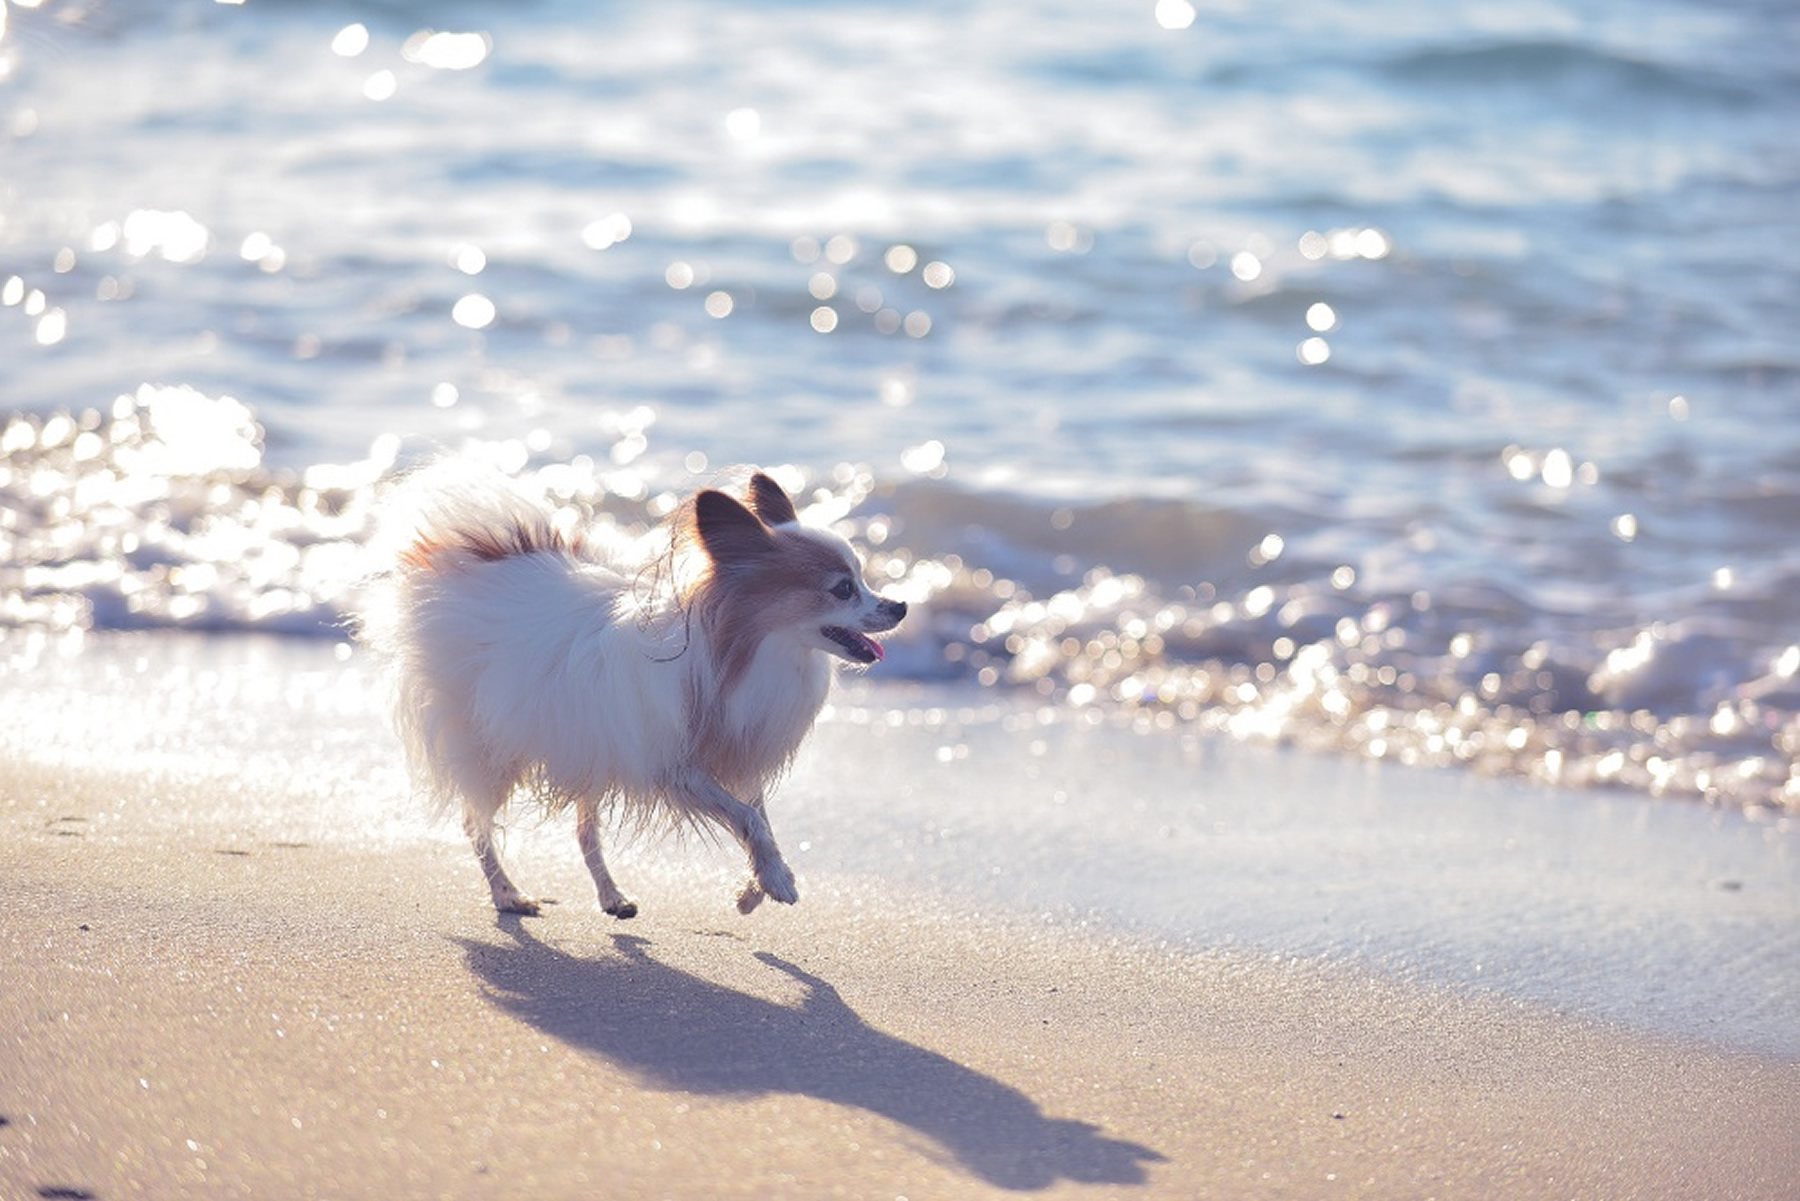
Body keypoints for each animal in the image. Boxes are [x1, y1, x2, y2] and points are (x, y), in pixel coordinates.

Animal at [358, 464, 907, 914]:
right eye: (843, 589)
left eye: (862, 578)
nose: (900, 605)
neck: (745, 654)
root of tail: (469, 557)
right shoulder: (675, 768)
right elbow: (748, 817)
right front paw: (774, 880)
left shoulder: (734, 755)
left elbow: (760, 819)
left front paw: (757, 886)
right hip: (490, 751)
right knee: (477, 824)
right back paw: (508, 894)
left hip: (589, 745)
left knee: (583, 831)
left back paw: (611, 896)